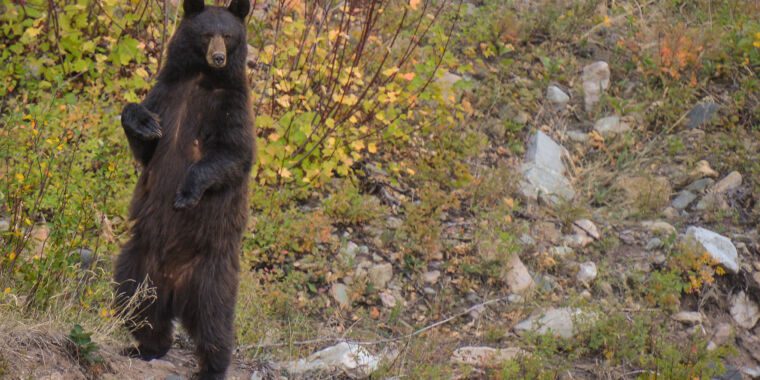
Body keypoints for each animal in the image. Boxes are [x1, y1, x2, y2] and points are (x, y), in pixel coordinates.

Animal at [114, 0, 254, 378]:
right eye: (207, 33)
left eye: (229, 35)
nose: (218, 57)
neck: (200, 78)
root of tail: (174, 286)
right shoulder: (167, 94)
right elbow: (146, 145)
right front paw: (142, 123)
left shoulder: (231, 107)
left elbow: (232, 153)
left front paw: (186, 193)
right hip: (138, 259)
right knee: (134, 300)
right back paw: (145, 347)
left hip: (210, 272)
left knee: (214, 319)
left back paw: (212, 366)